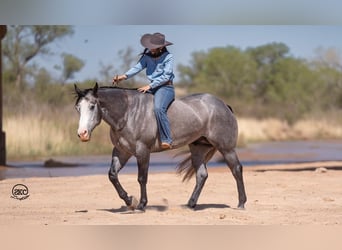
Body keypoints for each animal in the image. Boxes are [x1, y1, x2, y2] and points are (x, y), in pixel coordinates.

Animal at [74, 83, 246, 212]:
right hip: (198, 149)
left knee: (236, 169)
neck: (128, 113)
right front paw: (129, 200)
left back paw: (241, 203)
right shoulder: (122, 152)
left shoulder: (142, 151)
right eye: (78, 108)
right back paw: (190, 204)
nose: (82, 134)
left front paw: (141, 204)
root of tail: (223, 105)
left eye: (92, 106)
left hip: (226, 148)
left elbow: (142, 178)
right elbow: (112, 175)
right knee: (202, 175)